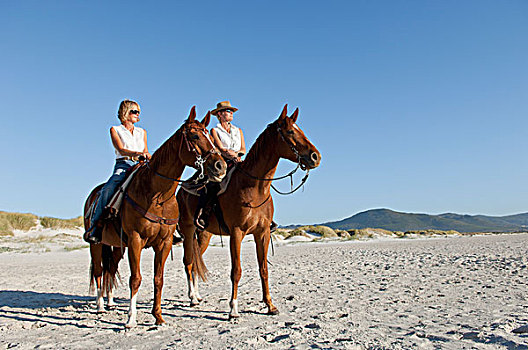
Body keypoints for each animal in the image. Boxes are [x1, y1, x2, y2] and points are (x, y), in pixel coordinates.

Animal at [84, 107, 227, 328]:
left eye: (211, 137)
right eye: (195, 136)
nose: (220, 166)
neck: (157, 195)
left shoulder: (164, 242)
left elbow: (158, 278)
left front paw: (158, 316)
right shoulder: (135, 240)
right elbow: (135, 278)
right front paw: (131, 319)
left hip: (117, 246)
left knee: (111, 268)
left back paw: (110, 302)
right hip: (96, 244)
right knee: (99, 271)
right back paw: (100, 305)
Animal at [175, 105, 320, 318]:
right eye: (290, 132)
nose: (315, 157)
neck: (255, 188)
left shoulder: (263, 233)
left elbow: (263, 269)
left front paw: (270, 305)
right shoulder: (237, 233)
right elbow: (236, 271)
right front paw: (233, 308)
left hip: (203, 235)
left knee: (195, 260)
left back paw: (198, 296)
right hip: (187, 230)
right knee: (188, 262)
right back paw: (192, 298)